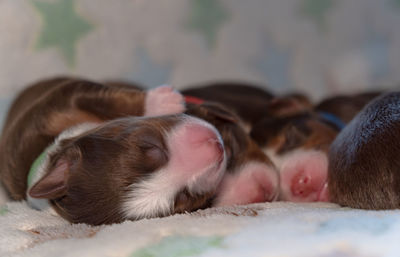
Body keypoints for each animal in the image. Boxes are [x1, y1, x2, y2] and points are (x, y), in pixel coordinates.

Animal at [0, 78, 228, 224]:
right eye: (184, 196)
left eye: (150, 146)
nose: (216, 145)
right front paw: (165, 101)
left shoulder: (53, 109)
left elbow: (96, 98)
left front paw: (161, 101)